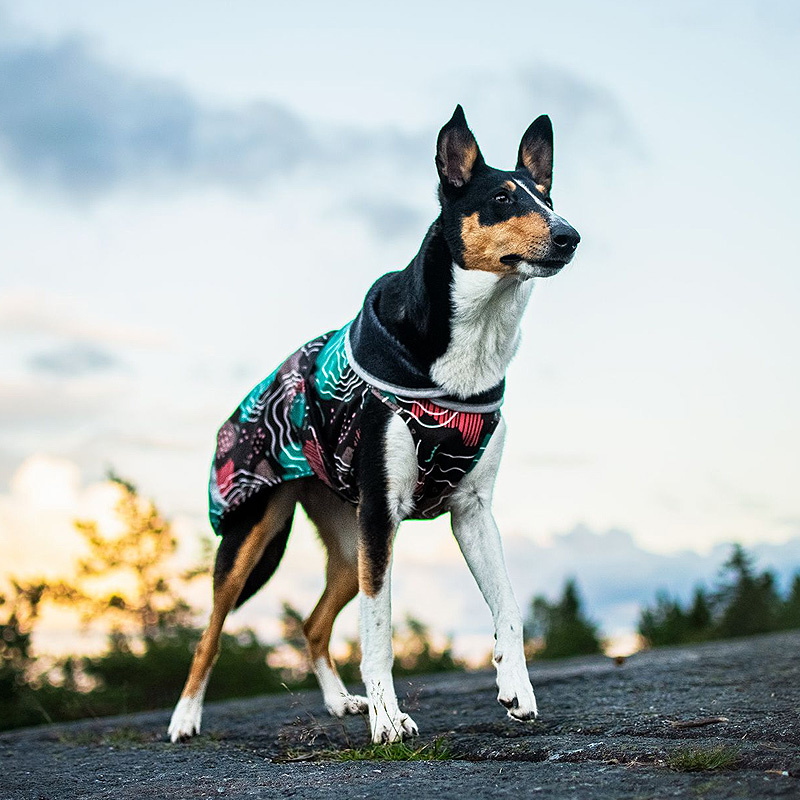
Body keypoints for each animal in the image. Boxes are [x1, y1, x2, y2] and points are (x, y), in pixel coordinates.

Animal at [170, 104, 580, 744]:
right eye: (502, 198)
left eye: (548, 196)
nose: (569, 236)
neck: (470, 348)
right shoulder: (383, 514)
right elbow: (381, 633)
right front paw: (389, 722)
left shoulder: (472, 512)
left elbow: (508, 608)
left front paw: (517, 688)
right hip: (256, 534)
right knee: (209, 631)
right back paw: (185, 718)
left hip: (348, 547)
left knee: (313, 625)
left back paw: (341, 703)